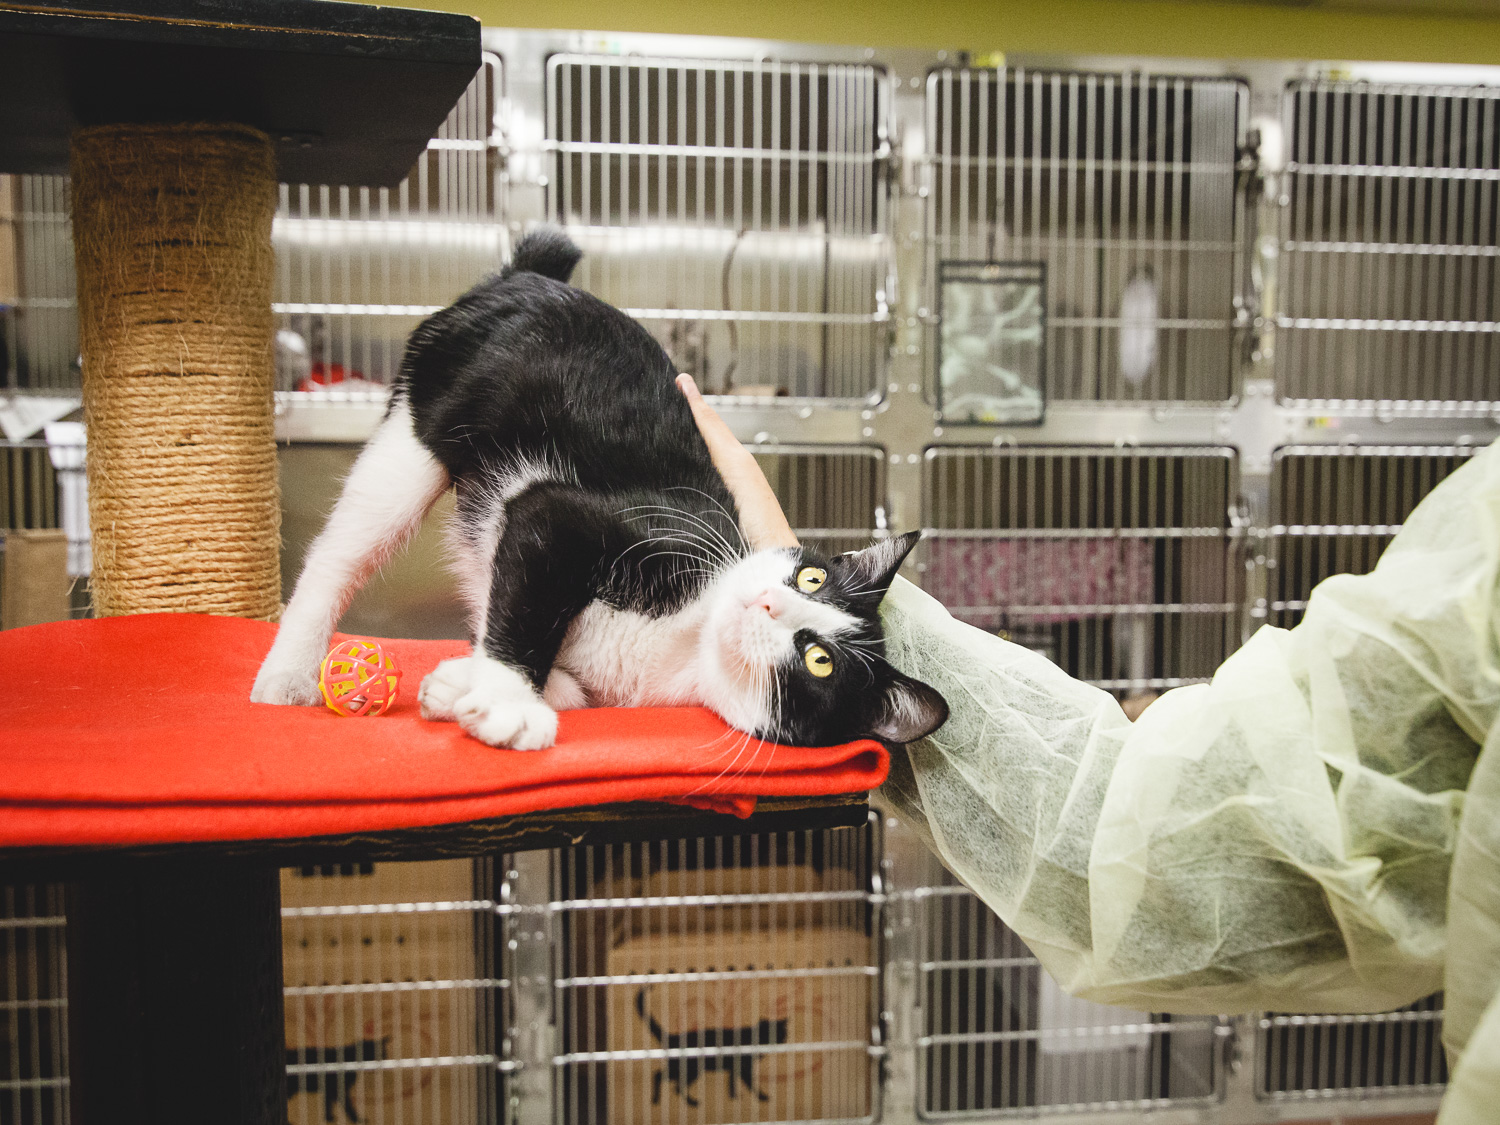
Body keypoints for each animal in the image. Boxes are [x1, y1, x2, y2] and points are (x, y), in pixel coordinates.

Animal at [250, 229, 942, 753]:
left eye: (820, 661)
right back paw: (287, 672)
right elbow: (533, 576)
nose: (768, 602)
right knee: (343, 551)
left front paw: (467, 685)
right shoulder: (592, 522)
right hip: (422, 420)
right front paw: (510, 698)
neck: (684, 643)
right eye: (812, 578)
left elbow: (543, 649)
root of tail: (528, 276)